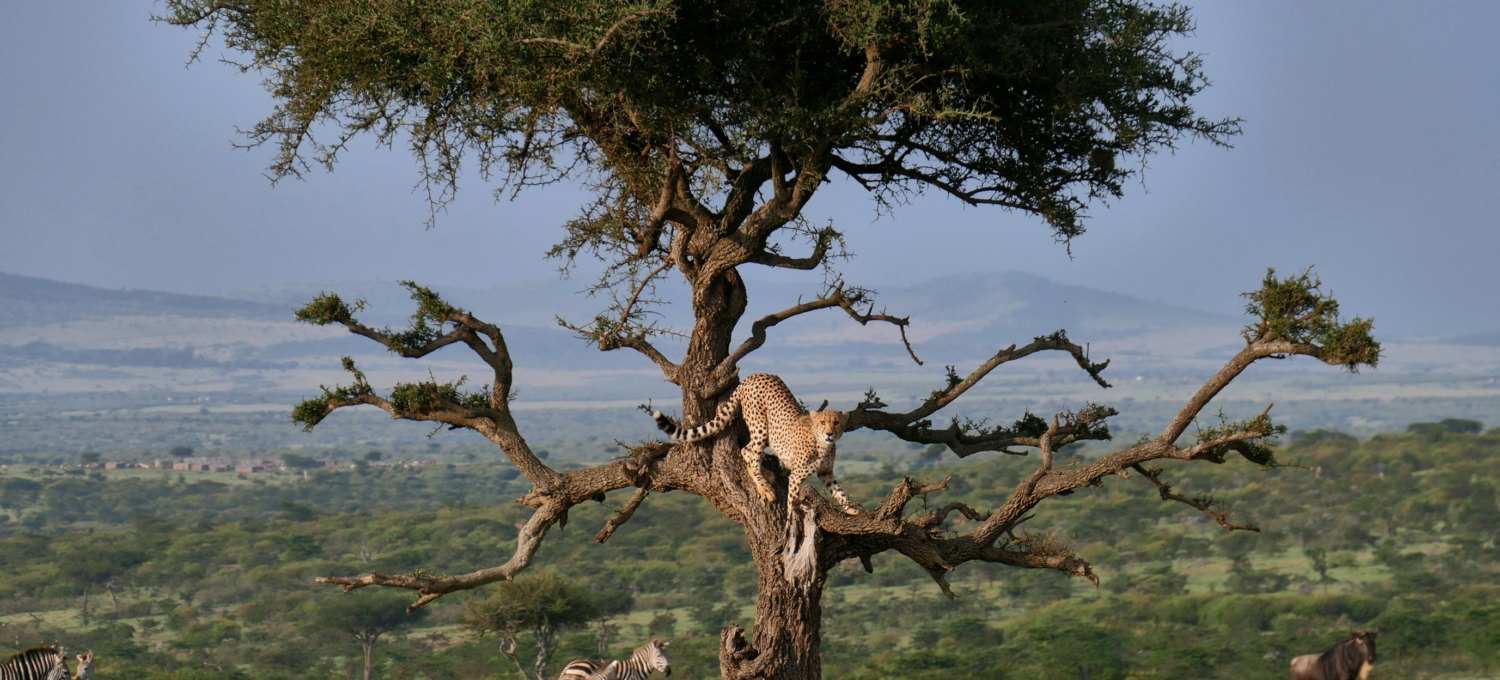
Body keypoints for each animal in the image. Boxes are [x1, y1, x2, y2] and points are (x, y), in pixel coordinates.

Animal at [654, 370, 858, 513]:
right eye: (823, 423)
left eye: (837, 423)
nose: (829, 434)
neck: (823, 444)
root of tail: (755, 376)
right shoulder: (796, 475)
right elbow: (792, 501)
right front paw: (790, 526)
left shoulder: (825, 472)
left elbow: (838, 490)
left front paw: (852, 509)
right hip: (760, 427)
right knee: (750, 456)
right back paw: (764, 487)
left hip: (768, 434)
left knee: (747, 451)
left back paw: (765, 474)